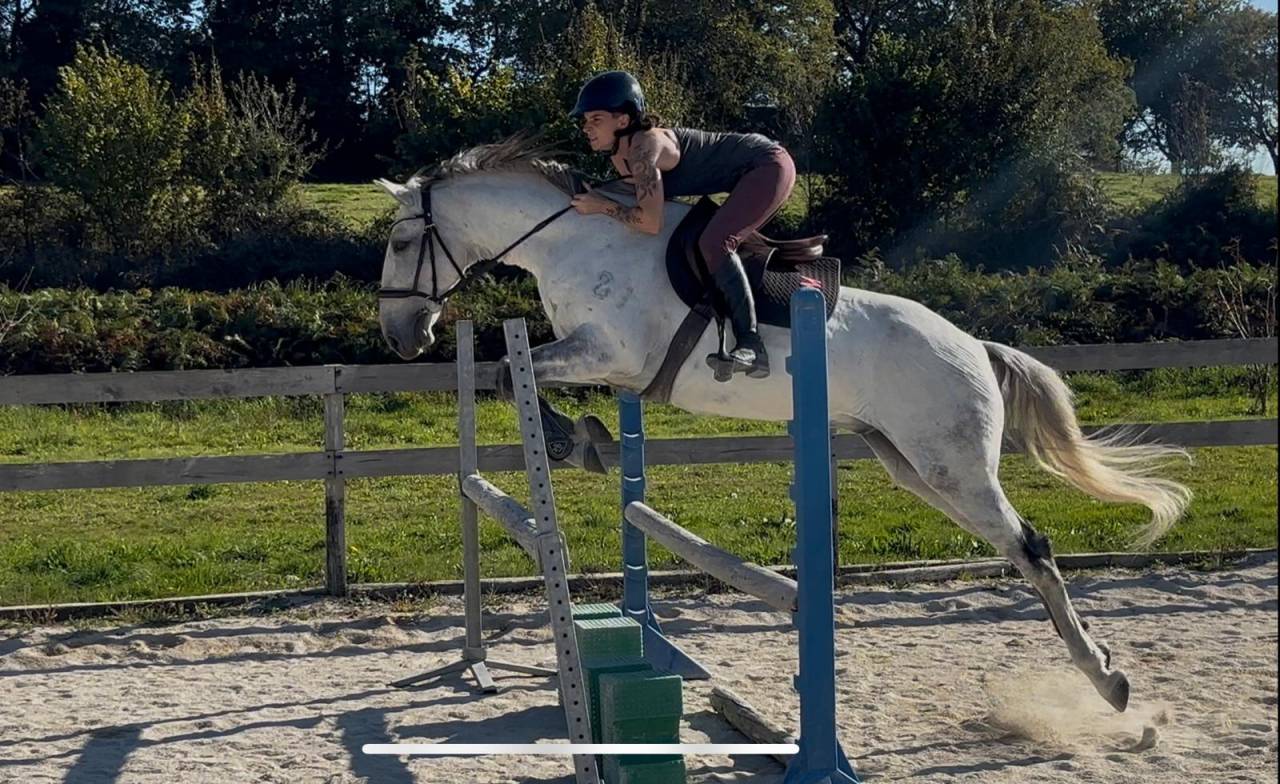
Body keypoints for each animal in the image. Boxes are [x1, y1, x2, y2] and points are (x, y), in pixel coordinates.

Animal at [374, 136, 1191, 713]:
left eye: (403, 243)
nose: (399, 336)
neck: (575, 240)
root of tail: (974, 346)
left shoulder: (611, 353)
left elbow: (507, 371)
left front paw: (579, 441)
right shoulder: (606, 362)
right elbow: (510, 373)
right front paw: (591, 439)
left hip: (950, 465)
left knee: (1034, 547)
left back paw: (1108, 683)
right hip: (911, 465)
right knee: (1015, 548)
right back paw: (1102, 677)